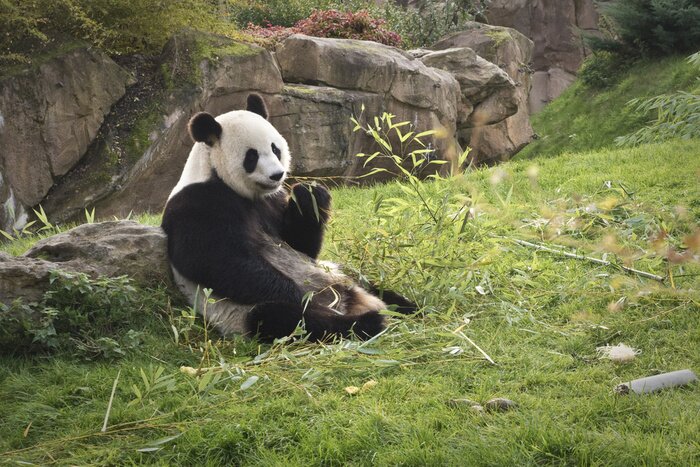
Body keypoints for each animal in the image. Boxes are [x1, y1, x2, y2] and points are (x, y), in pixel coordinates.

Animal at [162, 94, 415, 341]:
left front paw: (310, 194)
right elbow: (217, 260)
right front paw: (301, 296)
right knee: (287, 319)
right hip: (242, 313)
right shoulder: (199, 204)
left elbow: (301, 245)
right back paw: (367, 322)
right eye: (251, 156)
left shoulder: (272, 201)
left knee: (371, 285)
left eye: (275, 149)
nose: (277, 175)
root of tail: (352, 302)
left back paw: (408, 307)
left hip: (339, 272)